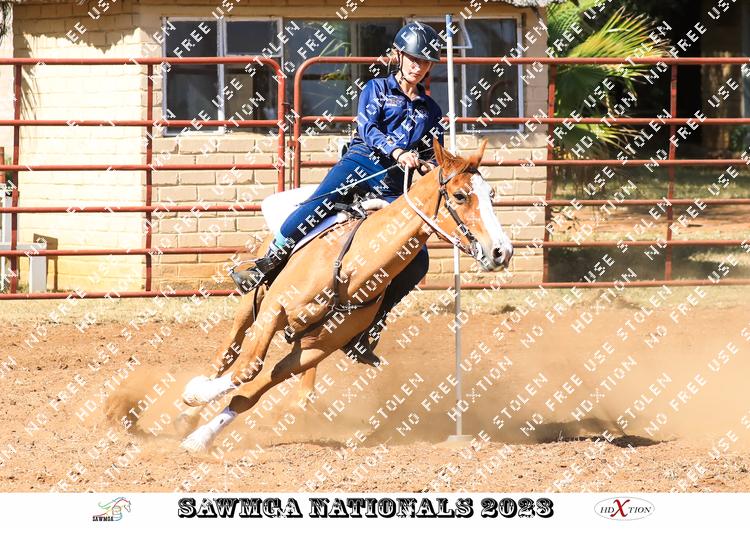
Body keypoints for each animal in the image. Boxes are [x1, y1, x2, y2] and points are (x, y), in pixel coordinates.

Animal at [177, 139, 513, 452]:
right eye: (460, 195)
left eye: (491, 195)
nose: (502, 251)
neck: (352, 269)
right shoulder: (274, 309)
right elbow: (248, 366)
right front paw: (194, 394)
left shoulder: (317, 349)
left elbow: (250, 393)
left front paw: (201, 438)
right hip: (251, 305)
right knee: (228, 351)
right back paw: (189, 411)